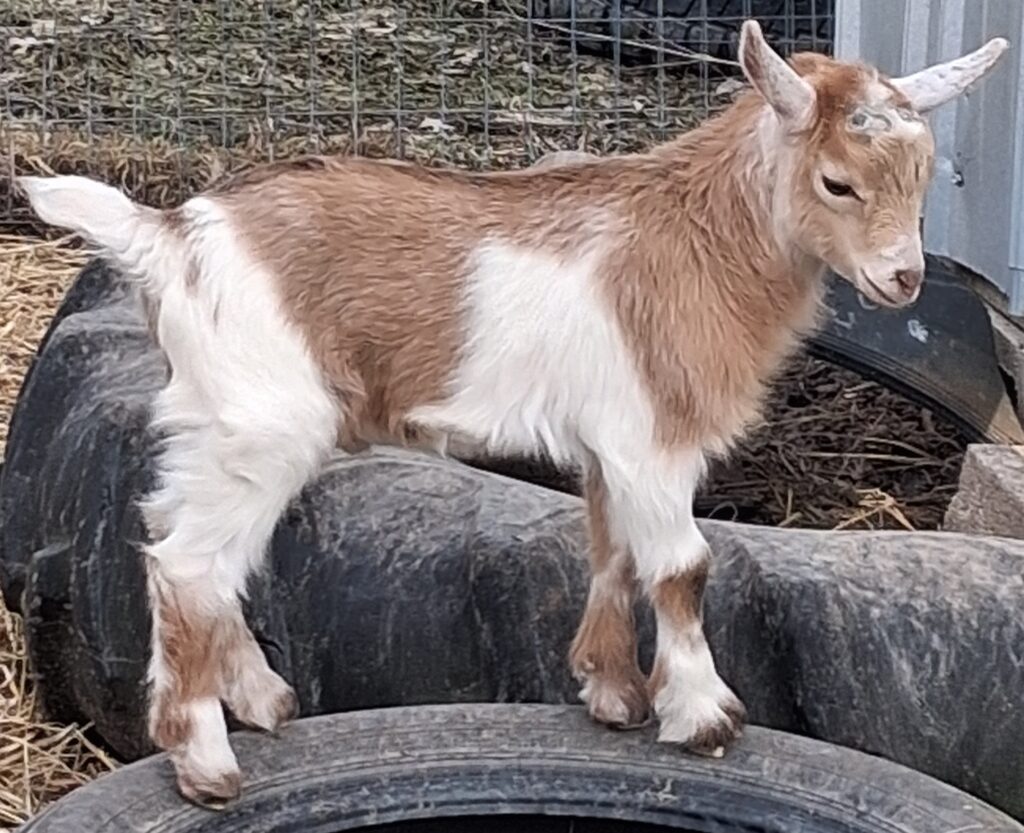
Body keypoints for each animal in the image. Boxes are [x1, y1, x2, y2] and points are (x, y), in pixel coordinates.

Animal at [19, 21, 1007, 806]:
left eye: (926, 175)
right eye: (838, 182)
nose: (903, 279)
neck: (695, 238)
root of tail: (167, 239)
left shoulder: (612, 445)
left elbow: (613, 552)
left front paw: (613, 694)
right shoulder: (651, 437)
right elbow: (683, 568)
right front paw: (707, 716)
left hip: (208, 419)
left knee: (166, 537)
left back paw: (261, 699)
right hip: (264, 421)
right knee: (192, 564)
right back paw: (207, 762)